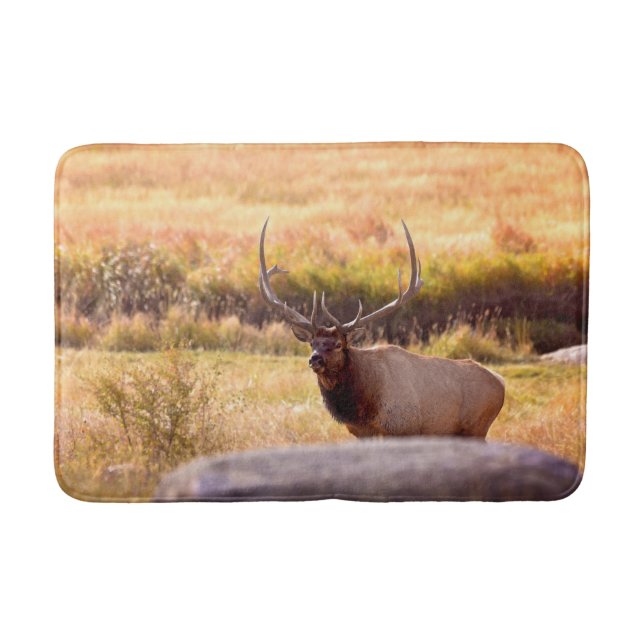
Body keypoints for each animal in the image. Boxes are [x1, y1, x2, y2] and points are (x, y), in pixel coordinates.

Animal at [258, 219, 505, 439]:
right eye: (313, 343)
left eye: (338, 344)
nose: (315, 359)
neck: (365, 409)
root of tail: (501, 383)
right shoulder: (363, 434)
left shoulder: (403, 428)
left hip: (476, 428)